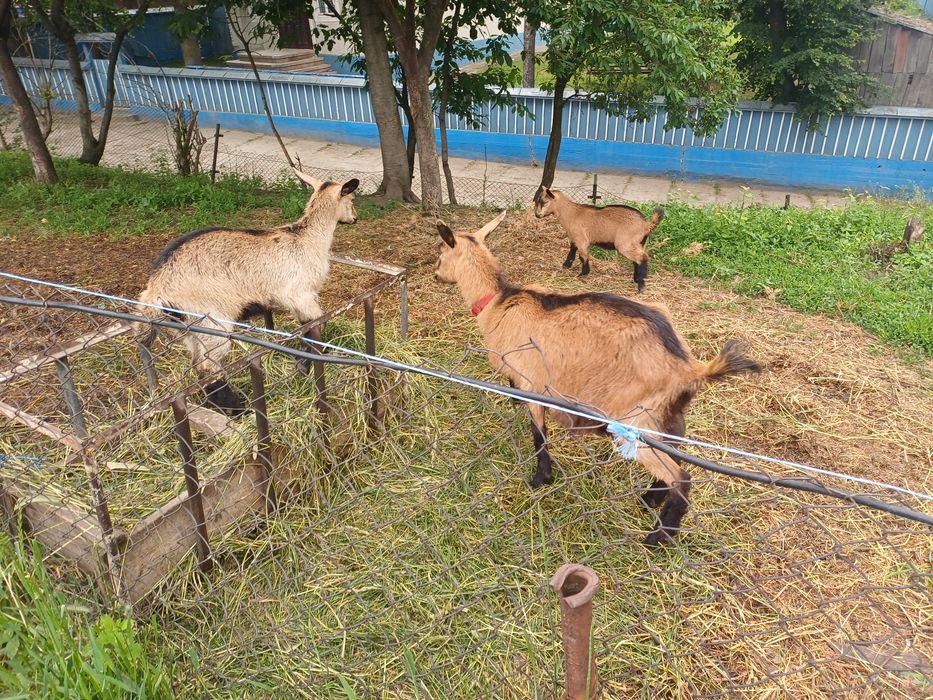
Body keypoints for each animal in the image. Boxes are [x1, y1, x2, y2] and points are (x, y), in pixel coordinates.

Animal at [136, 169, 359, 415]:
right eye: (352, 199)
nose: (355, 218)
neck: (306, 239)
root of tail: (154, 291)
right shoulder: (301, 294)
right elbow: (313, 328)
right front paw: (306, 365)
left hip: (190, 331)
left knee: (199, 368)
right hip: (211, 321)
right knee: (209, 368)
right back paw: (239, 409)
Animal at [434, 211, 760, 545]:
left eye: (440, 252)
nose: (435, 274)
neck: (499, 302)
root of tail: (689, 367)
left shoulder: (532, 383)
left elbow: (539, 434)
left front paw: (540, 478)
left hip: (635, 421)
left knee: (681, 477)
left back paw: (658, 537)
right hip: (667, 414)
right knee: (677, 453)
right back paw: (650, 499)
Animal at [534, 187, 664, 292]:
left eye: (544, 202)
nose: (537, 215)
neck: (571, 213)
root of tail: (646, 224)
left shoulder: (581, 239)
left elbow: (583, 256)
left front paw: (583, 273)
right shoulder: (574, 237)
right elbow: (572, 249)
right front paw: (566, 265)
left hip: (625, 243)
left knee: (642, 258)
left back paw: (641, 286)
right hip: (639, 243)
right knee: (637, 259)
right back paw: (637, 279)